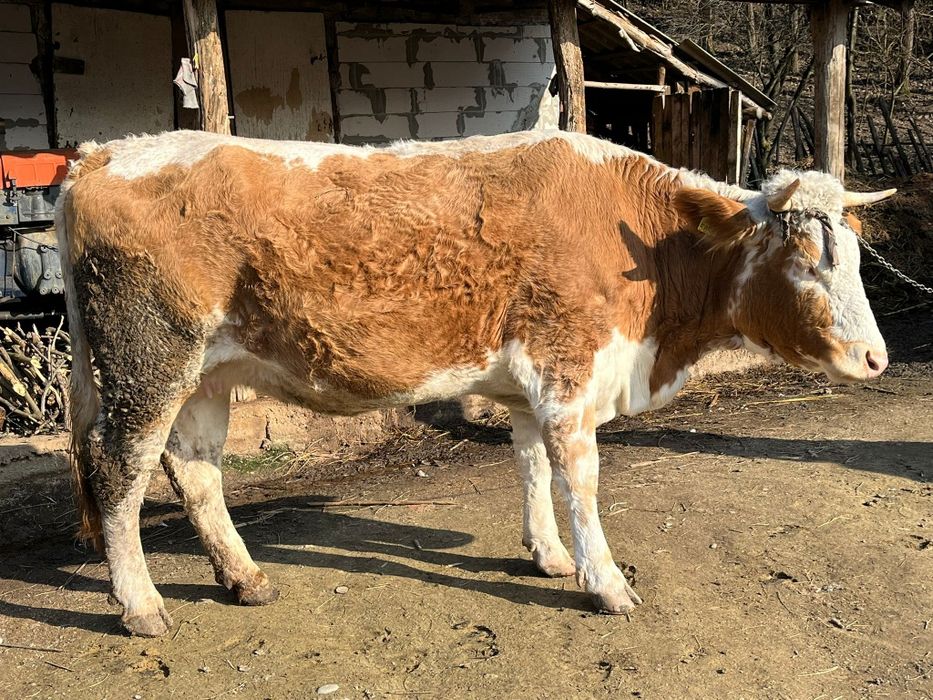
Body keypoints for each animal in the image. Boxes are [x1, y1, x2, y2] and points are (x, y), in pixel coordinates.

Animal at [56, 129, 894, 637]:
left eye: (854, 255)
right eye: (806, 261)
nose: (874, 360)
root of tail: (105, 153)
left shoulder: (529, 386)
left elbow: (529, 466)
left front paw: (547, 554)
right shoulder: (566, 372)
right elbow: (578, 478)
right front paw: (604, 582)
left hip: (206, 372)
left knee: (194, 468)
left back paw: (244, 577)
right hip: (148, 356)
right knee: (118, 468)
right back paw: (140, 604)